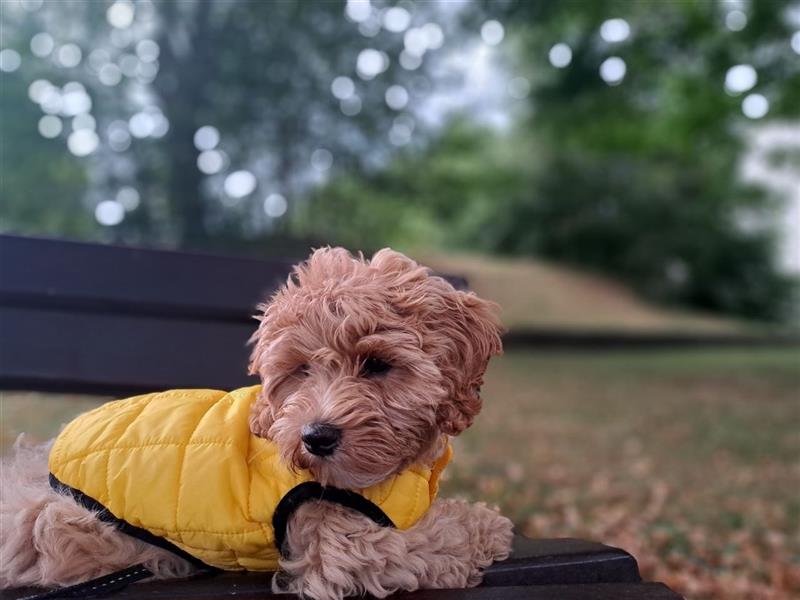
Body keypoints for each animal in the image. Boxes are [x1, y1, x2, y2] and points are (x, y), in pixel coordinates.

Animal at [0, 248, 512, 600]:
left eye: (377, 365)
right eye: (301, 370)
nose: (316, 437)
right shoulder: (338, 538)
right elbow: (429, 537)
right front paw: (487, 527)